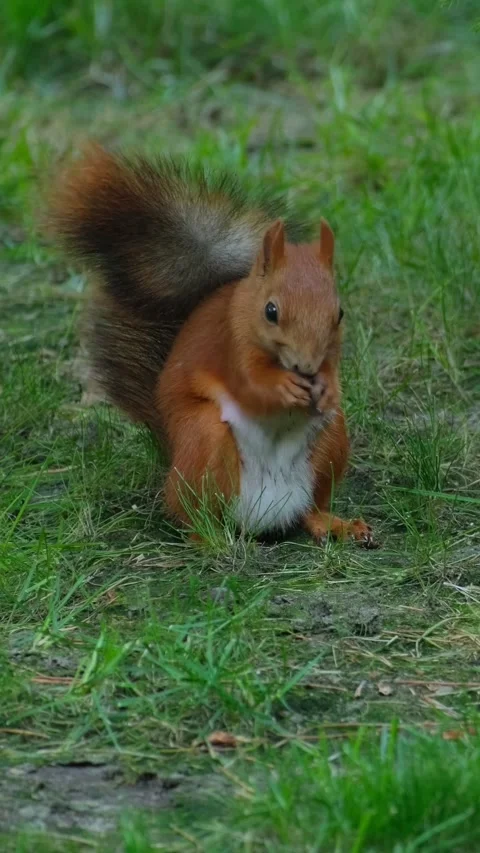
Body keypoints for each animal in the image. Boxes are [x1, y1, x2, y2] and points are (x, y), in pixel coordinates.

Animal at [48, 144, 375, 547]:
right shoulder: (228, 345)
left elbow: (332, 369)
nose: (306, 367)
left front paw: (328, 387)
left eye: (339, 313)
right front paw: (283, 387)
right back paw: (209, 538)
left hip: (331, 441)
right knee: (190, 510)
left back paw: (337, 525)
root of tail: (264, 516)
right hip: (204, 438)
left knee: (311, 509)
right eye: (271, 311)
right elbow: (251, 386)